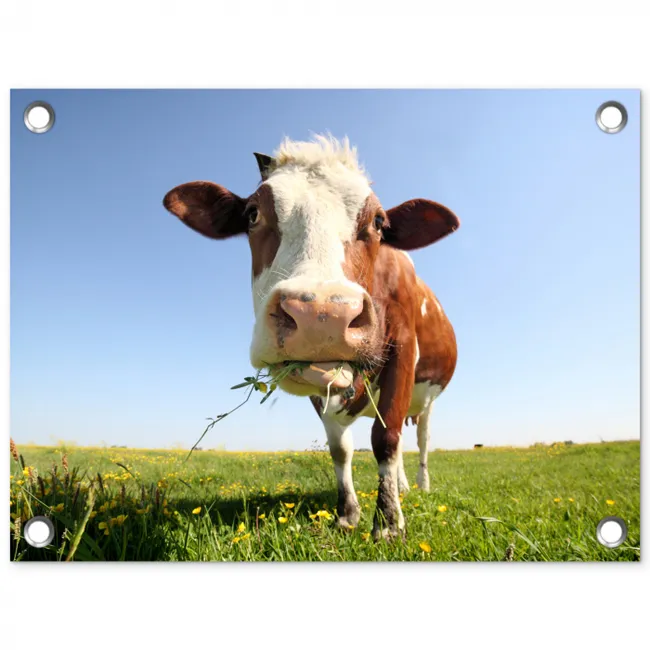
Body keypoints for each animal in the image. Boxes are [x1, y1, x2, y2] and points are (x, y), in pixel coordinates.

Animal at [163, 135, 459, 539]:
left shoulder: (402, 349)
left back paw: (419, 486)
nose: (322, 315)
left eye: (379, 222)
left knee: (419, 440)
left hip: (427, 400)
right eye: (252, 214)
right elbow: (340, 448)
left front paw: (388, 523)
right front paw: (348, 514)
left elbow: (386, 440)